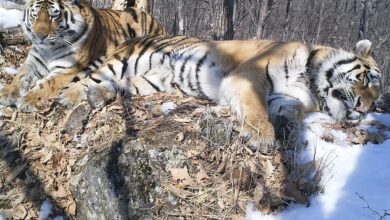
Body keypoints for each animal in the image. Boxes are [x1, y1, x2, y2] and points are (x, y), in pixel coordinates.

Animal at [0, 0, 166, 111]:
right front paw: (7, 93)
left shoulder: (67, 68)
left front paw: (28, 100)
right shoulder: (33, 62)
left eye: (54, 16)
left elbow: (46, 85)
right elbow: (20, 77)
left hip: (132, 15)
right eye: (35, 15)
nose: (39, 36)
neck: (48, 49)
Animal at [38, 35, 384, 151]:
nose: (365, 109)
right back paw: (71, 97)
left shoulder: (289, 96)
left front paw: (287, 126)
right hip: (122, 62)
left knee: (115, 87)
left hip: (146, 81)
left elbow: (291, 110)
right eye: (368, 81)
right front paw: (262, 136)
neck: (311, 83)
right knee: (85, 79)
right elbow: (256, 107)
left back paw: (98, 97)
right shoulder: (250, 76)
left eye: (378, 98)